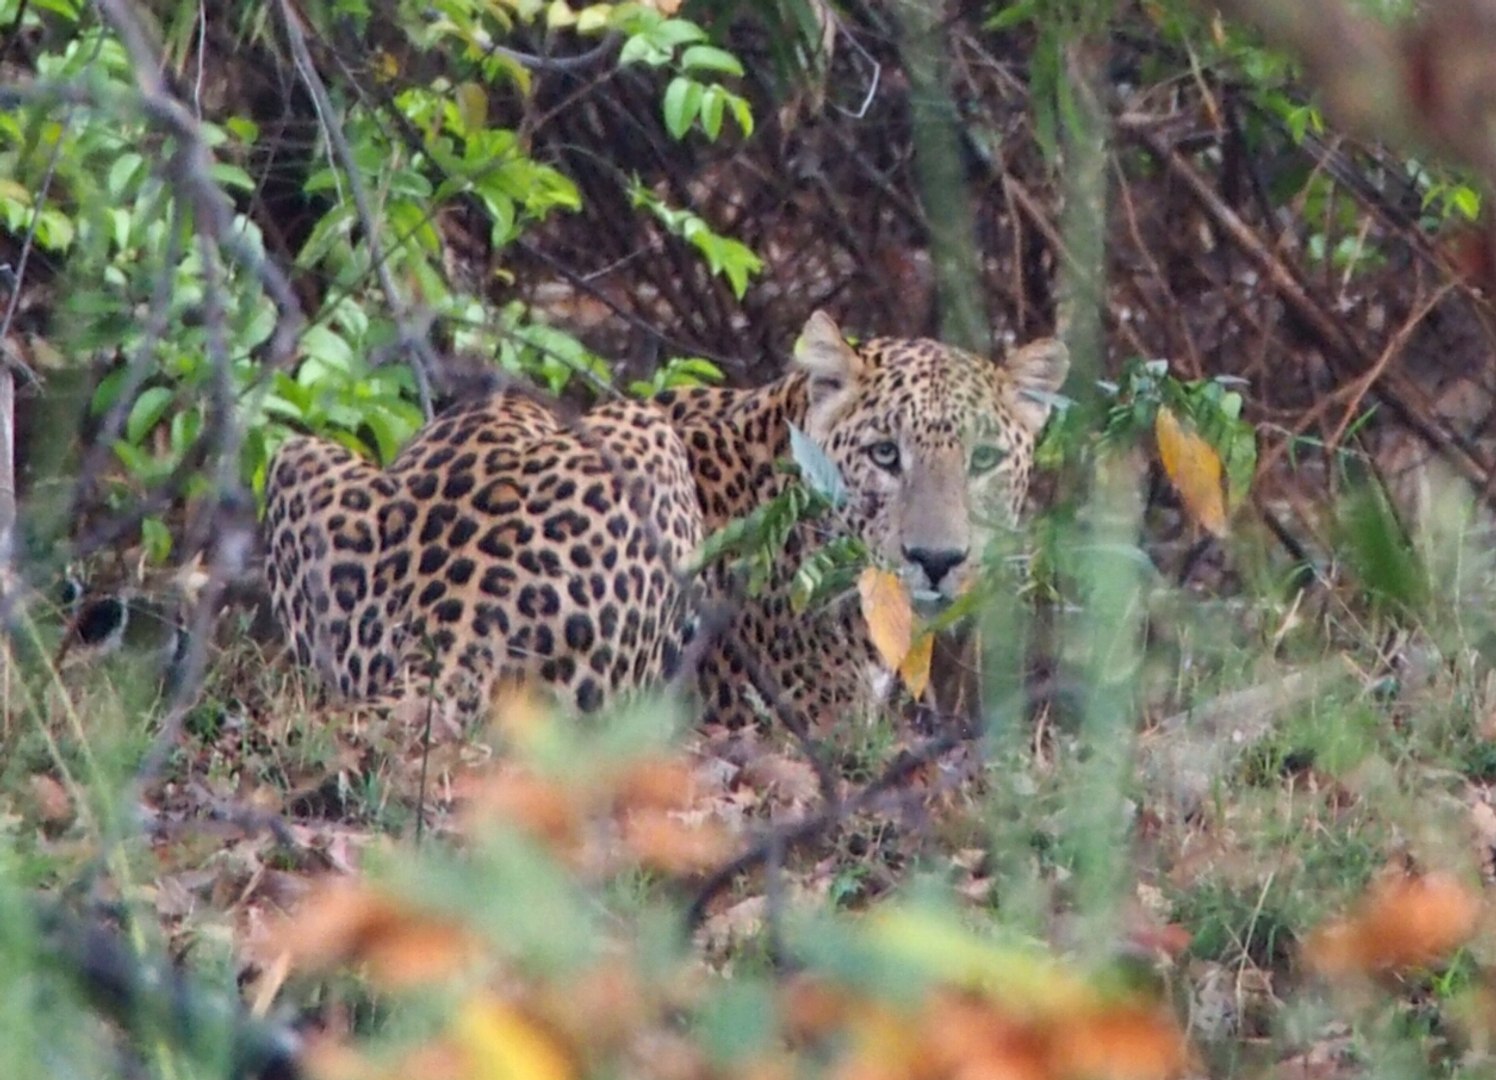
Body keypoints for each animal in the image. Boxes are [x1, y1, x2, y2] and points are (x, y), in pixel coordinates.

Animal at [263, 311, 1071, 732]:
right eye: (884, 454)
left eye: (984, 459)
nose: (937, 559)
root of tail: (449, 621)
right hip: (638, 434)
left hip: (296, 457)